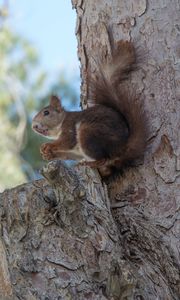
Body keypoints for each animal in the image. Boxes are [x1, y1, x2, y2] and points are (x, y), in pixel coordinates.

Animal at [32, 39, 148, 176]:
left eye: (46, 113)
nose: (33, 126)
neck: (61, 123)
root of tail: (123, 147)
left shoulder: (69, 127)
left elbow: (66, 141)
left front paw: (47, 146)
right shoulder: (76, 152)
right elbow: (68, 154)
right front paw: (48, 155)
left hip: (88, 134)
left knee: (104, 159)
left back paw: (90, 164)